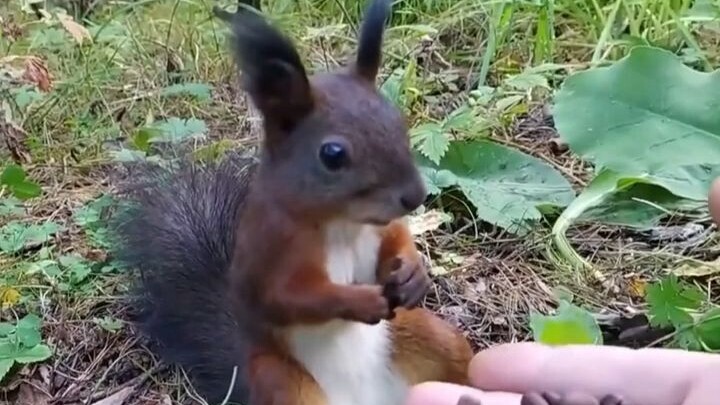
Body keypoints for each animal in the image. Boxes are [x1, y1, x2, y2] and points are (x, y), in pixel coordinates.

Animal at [112, 0, 473, 404]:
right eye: (332, 155)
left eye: (400, 121)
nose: (414, 195)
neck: (343, 222)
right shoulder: (271, 245)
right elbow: (285, 297)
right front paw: (360, 301)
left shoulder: (378, 228)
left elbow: (396, 237)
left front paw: (413, 272)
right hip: (281, 381)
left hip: (429, 337)